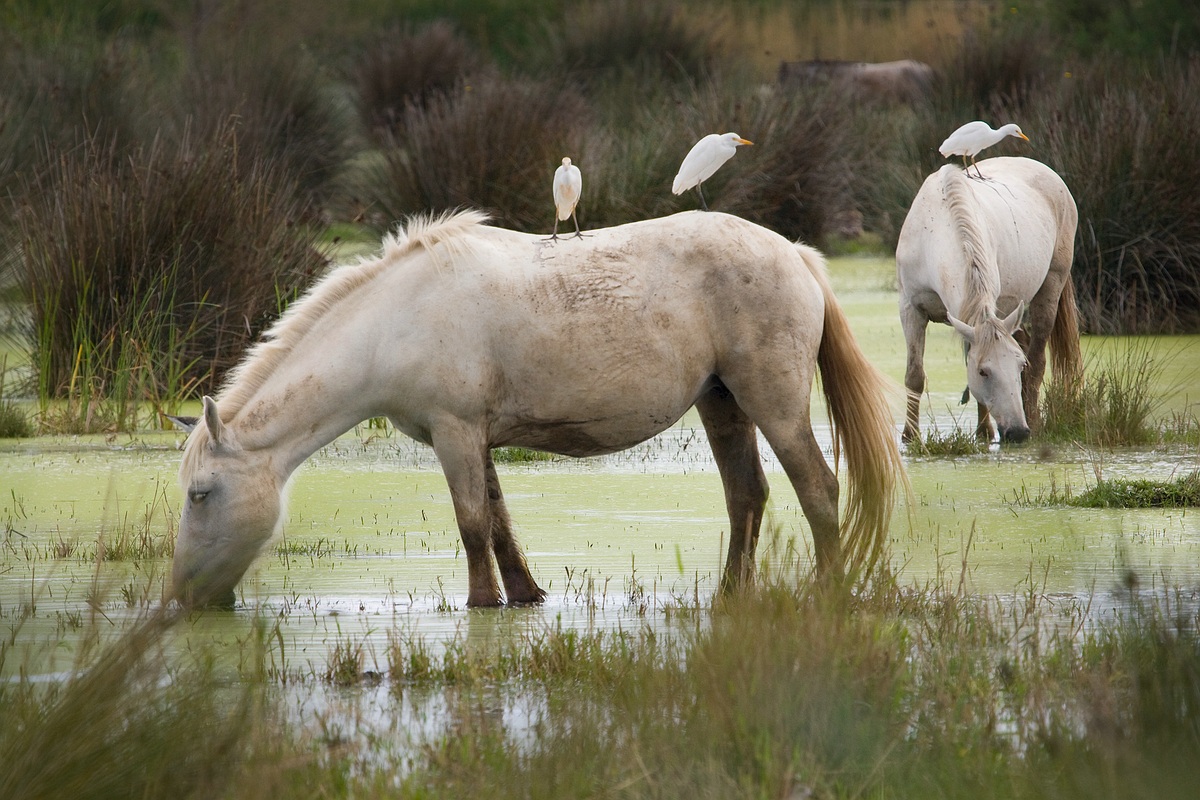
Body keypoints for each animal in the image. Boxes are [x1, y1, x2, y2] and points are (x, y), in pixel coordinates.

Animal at [166, 211, 902, 606]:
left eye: (201, 493)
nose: (185, 595)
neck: (394, 319)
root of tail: (795, 254)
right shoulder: (472, 438)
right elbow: (497, 521)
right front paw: (522, 596)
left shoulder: (456, 432)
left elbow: (470, 523)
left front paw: (480, 602)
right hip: (722, 404)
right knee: (747, 495)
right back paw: (729, 596)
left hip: (773, 403)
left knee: (818, 487)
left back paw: (828, 590)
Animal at [897, 155, 1084, 443]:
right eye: (984, 371)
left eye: (1019, 366)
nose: (1017, 432)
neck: (936, 230)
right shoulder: (911, 308)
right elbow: (914, 375)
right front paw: (910, 436)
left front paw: (984, 431)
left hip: (1051, 287)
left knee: (1039, 361)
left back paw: (1035, 420)